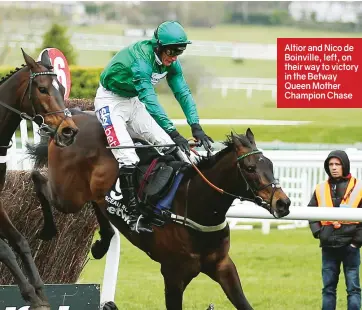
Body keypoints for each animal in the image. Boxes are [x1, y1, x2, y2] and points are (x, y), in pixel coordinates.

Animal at [0, 49, 79, 310]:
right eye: (42, 89)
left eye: (61, 89)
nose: (69, 131)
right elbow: (4, 248)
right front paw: (30, 295)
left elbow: (20, 241)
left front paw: (40, 293)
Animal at [26, 108, 290, 308]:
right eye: (250, 168)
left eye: (270, 164)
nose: (283, 202)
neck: (196, 206)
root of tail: (72, 120)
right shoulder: (173, 274)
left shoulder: (223, 265)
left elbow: (244, 303)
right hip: (68, 195)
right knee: (38, 179)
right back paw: (49, 229)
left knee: (97, 203)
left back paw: (103, 242)